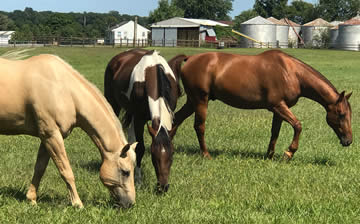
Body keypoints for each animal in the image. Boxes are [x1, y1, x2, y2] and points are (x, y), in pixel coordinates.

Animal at [0, 54, 138, 208]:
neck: (63, 89)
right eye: (126, 172)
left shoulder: (47, 137)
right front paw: (78, 204)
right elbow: (66, 171)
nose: (130, 203)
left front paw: (32, 199)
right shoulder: (51, 136)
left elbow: (40, 168)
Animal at [104, 49, 186, 192]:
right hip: (113, 104)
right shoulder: (139, 119)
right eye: (153, 155)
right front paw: (138, 181)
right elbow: (140, 148)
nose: (163, 187)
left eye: (172, 154)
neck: (153, 72)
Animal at [174, 50, 352, 160]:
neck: (291, 72)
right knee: (199, 127)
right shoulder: (279, 106)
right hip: (200, 101)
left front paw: (269, 156)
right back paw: (206, 154)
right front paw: (288, 153)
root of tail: (189, 58)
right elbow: (297, 125)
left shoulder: (278, 109)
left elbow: (275, 133)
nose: (349, 141)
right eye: (341, 114)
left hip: (192, 102)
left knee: (176, 119)